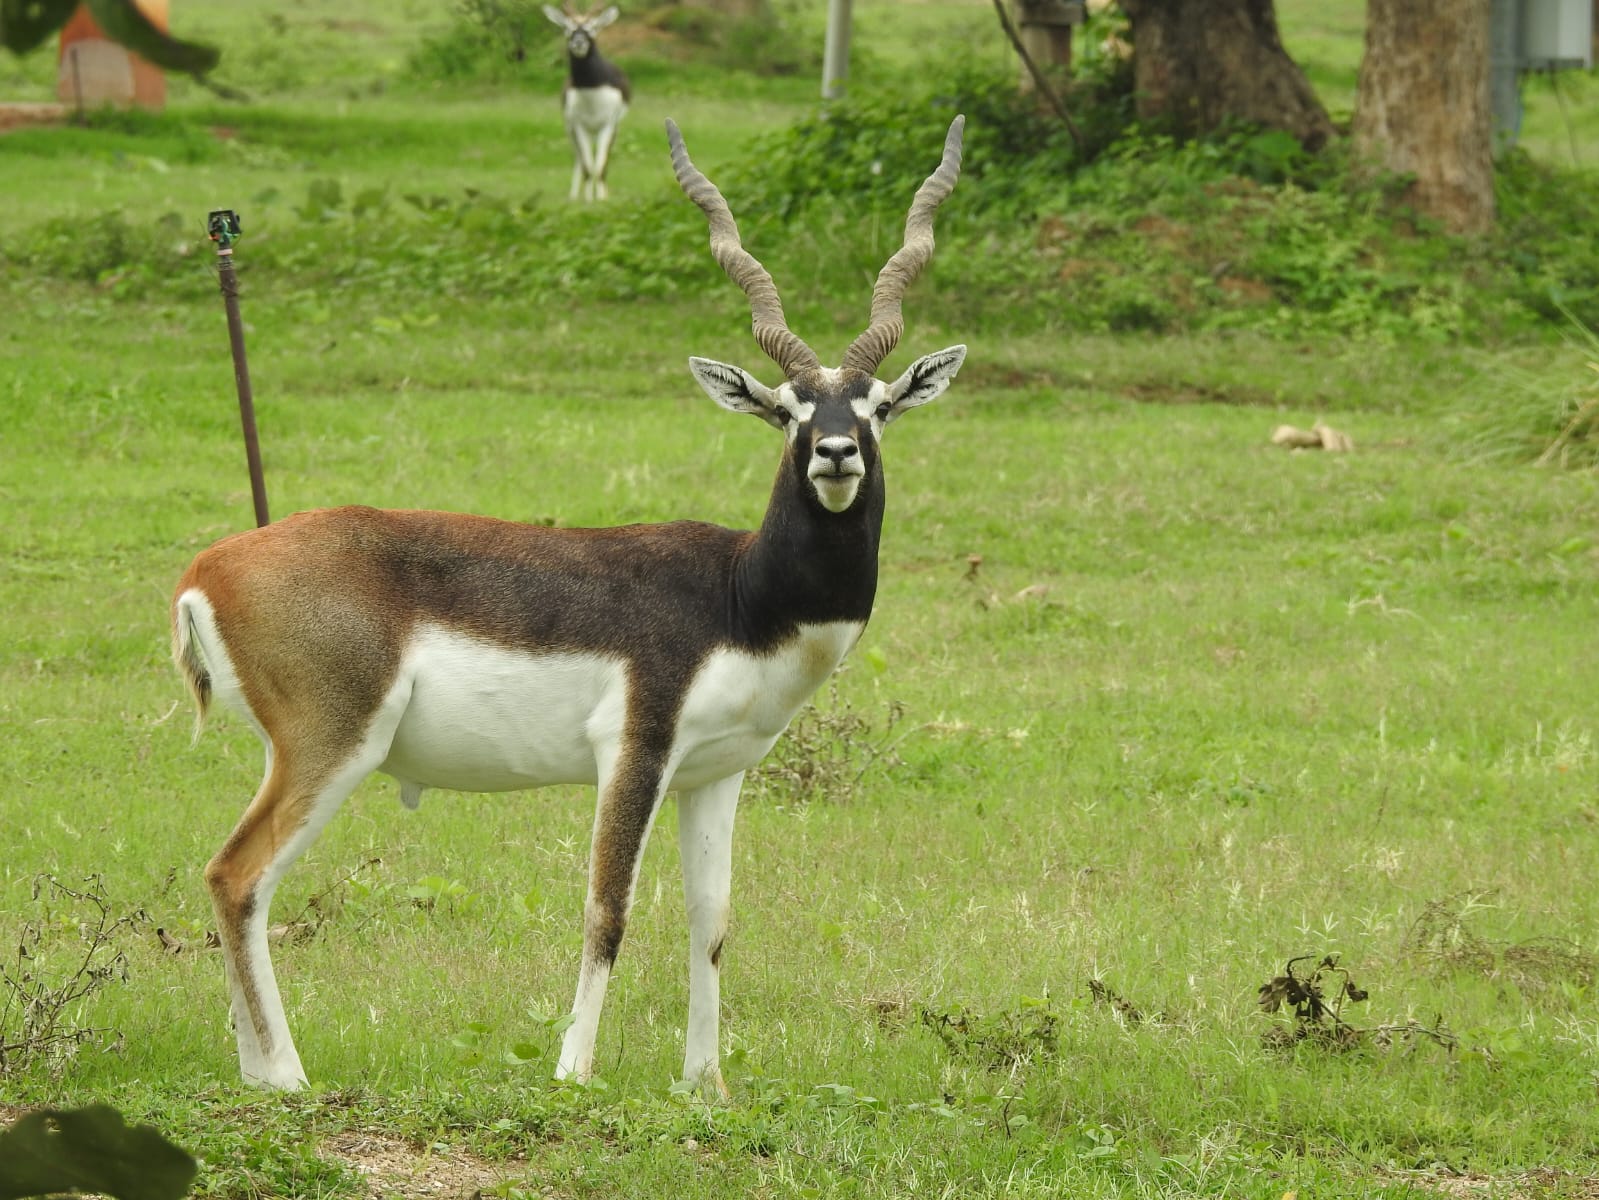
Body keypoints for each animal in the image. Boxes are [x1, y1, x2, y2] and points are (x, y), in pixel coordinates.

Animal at [181, 115, 965, 1100]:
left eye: (879, 405)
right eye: (785, 408)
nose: (833, 453)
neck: (739, 593)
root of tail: (213, 563)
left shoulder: (715, 774)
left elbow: (711, 924)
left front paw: (705, 1089)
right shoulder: (633, 751)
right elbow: (607, 909)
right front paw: (574, 1072)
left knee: (232, 880)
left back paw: (255, 1071)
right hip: (333, 744)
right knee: (236, 874)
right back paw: (286, 1075)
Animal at [543, 3, 630, 200]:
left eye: (592, 28)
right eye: (567, 28)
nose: (578, 43)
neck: (592, 90)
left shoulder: (608, 125)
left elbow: (600, 167)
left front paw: (602, 199)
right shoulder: (578, 125)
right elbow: (588, 168)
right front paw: (588, 200)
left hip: (611, 128)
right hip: (572, 130)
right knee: (579, 160)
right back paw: (574, 196)